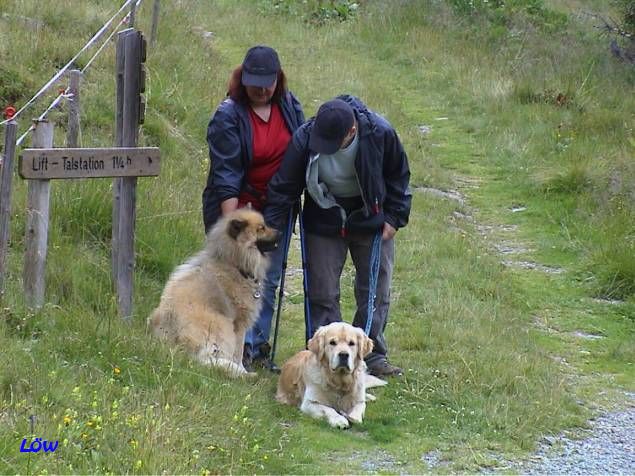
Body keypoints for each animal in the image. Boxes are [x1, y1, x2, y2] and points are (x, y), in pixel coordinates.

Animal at [150, 210, 280, 378]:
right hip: (222, 325)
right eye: (261, 228)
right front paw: (243, 369)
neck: (234, 263)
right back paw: (243, 375)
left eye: (264, 225)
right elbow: (238, 353)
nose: (280, 232)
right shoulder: (239, 324)